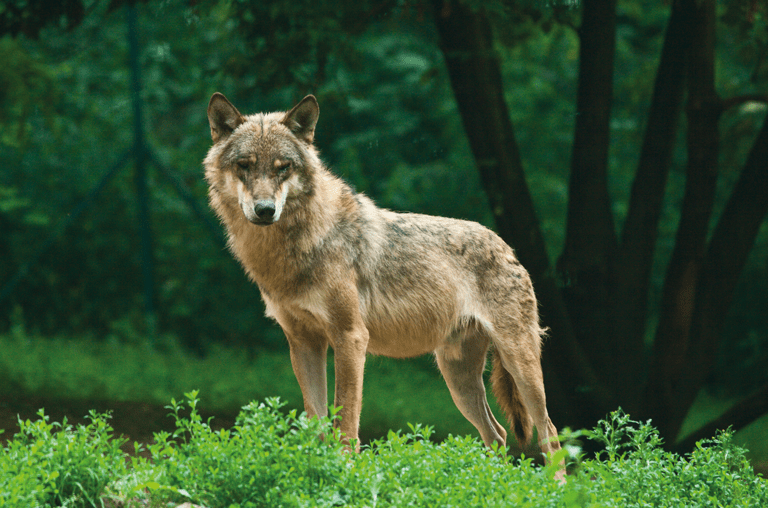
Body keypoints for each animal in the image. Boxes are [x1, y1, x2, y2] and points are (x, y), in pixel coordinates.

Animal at [204, 92, 563, 466]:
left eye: (282, 167)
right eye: (244, 165)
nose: (264, 210)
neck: (296, 247)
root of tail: (507, 246)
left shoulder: (350, 338)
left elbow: (345, 419)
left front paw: (344, 469)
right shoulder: (303, 343)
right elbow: (316, 422)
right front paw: (319, 469)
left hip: (519, 363)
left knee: (550, 434)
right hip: (458, 378)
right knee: (499, 434)